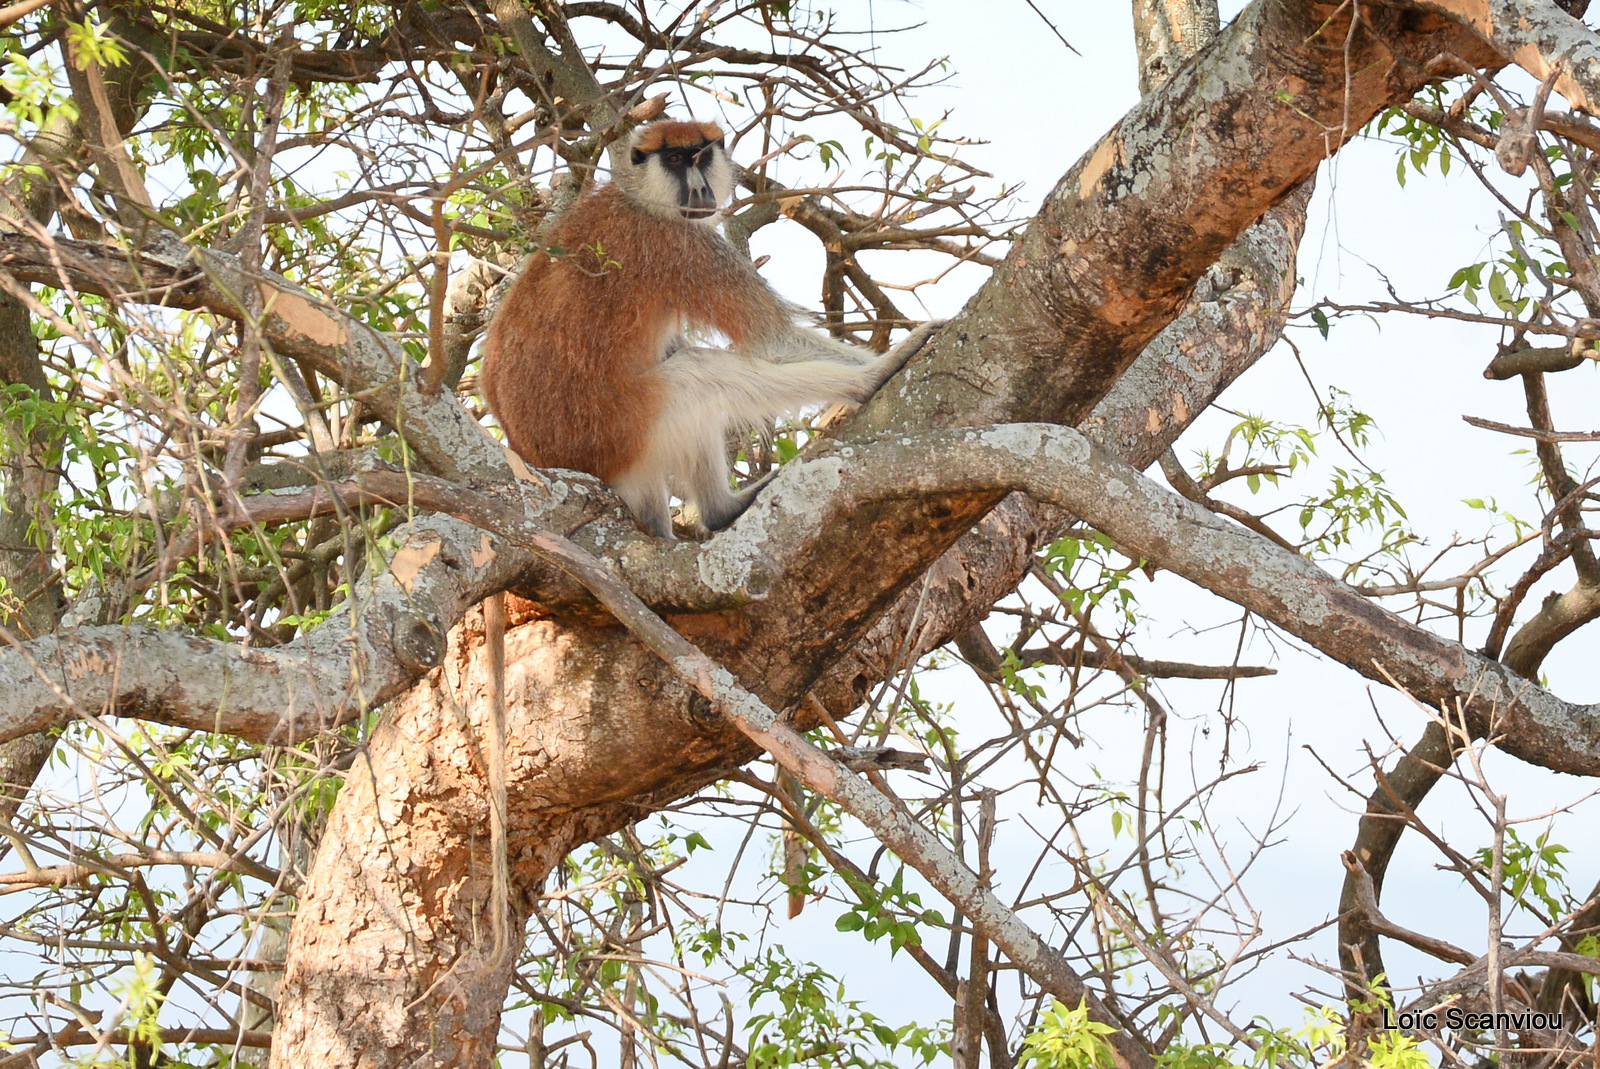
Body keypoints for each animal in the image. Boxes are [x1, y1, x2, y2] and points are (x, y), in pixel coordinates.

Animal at [480, 120, 934, 537]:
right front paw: (880, 366)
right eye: (675, 159)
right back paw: (723, 507)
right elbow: (773, 341)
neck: (640, 198)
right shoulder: (682, 246)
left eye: (701, 157)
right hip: (614, 432)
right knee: (695, 376)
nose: (699, 190)